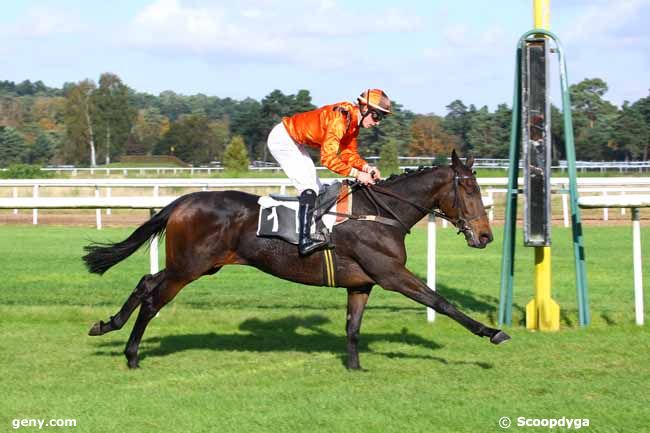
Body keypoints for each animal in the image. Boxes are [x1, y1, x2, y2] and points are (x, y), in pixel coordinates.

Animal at [82, 151, 506, 368]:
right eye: (469, 189)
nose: (486, 236)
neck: (379, 213)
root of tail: (183, 200)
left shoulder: (361, 283)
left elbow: (353, 328)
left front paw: (355, 367)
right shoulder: (391, 273)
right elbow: (440, 301)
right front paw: (492, 332)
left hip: (194, 266)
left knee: (145, 283)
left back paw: (107, 325)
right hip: (189, 267)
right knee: (153, 298)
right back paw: (132, 355)